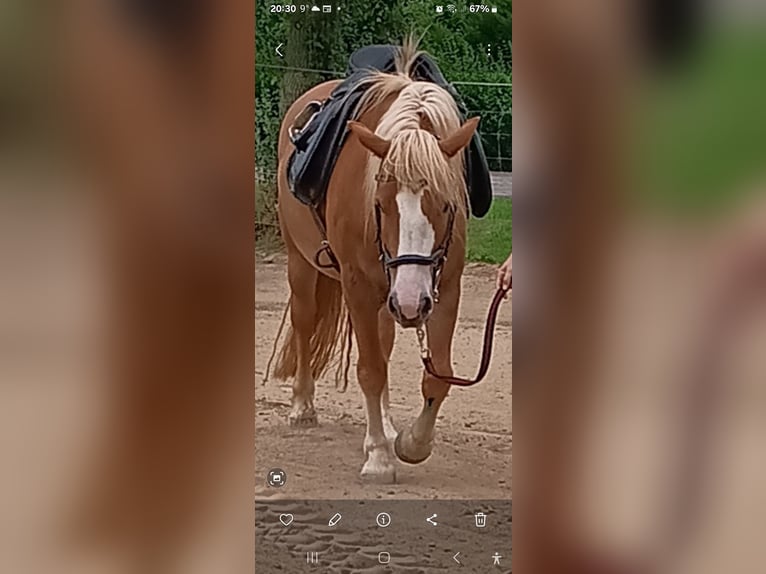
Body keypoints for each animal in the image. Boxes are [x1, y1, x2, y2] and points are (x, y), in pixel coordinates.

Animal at [274, 45, 480, 484]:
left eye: (447, 204)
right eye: (381, 205)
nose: (411, 302)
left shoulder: (446, 286)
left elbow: (437, 374)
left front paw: (410, 443)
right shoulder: (358, 285)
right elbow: (369, 370)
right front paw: (379, 457)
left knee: (384, 346)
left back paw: (384, 424)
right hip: (302, 264)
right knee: (304, 322)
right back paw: (302, 406)